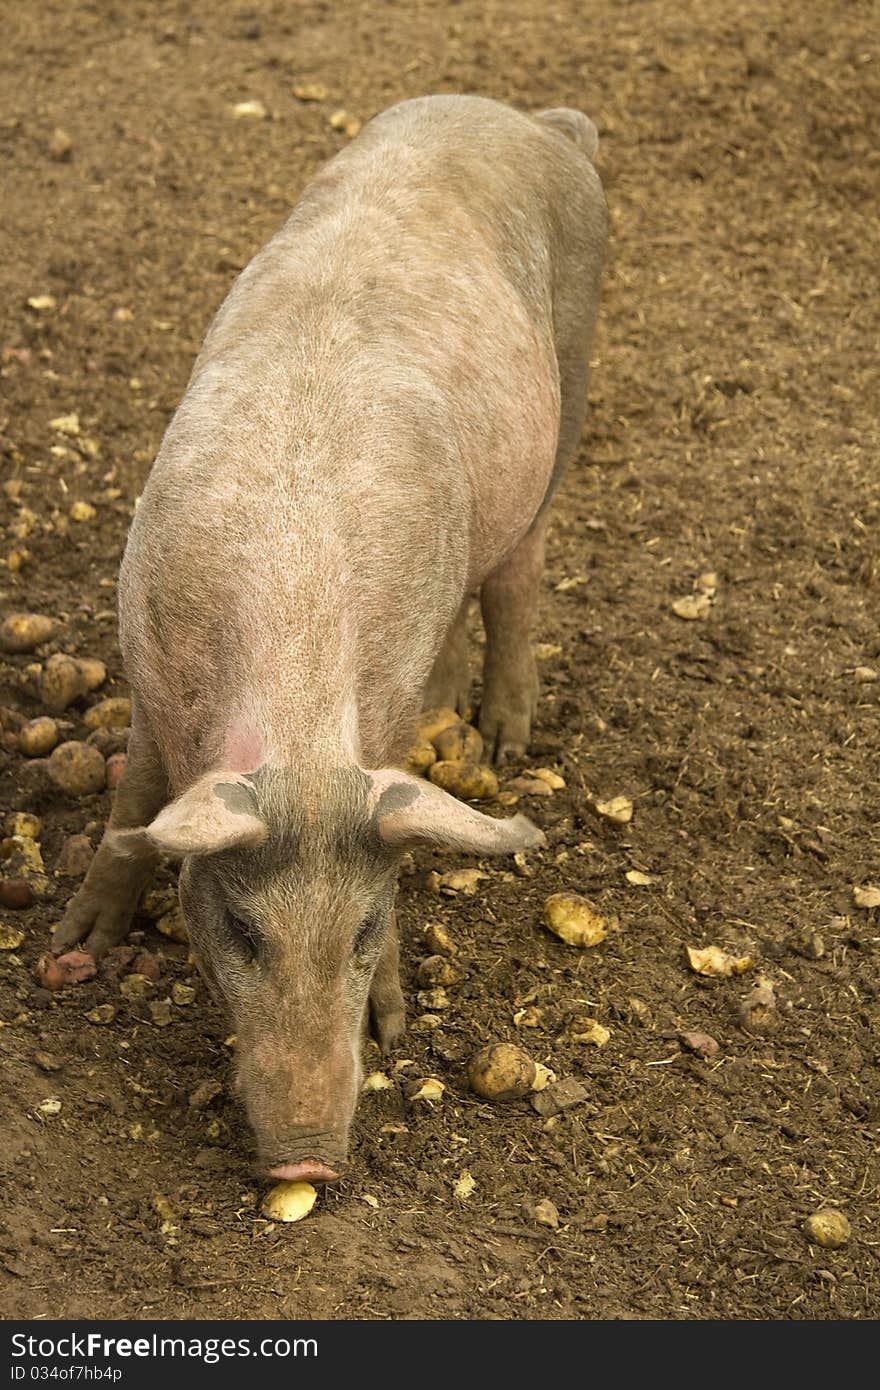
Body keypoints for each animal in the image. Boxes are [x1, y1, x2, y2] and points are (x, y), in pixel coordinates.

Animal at [53, 95, 603, 1184]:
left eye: (363, 928)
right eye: (240, 931)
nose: (307, 1164)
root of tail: (535, 121)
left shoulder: (372, 727)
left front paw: (392, 1025)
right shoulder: (146, 662)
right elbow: (134, 802)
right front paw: (76, 946)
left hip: (568, 387)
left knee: (518, 574)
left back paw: (499, 741)